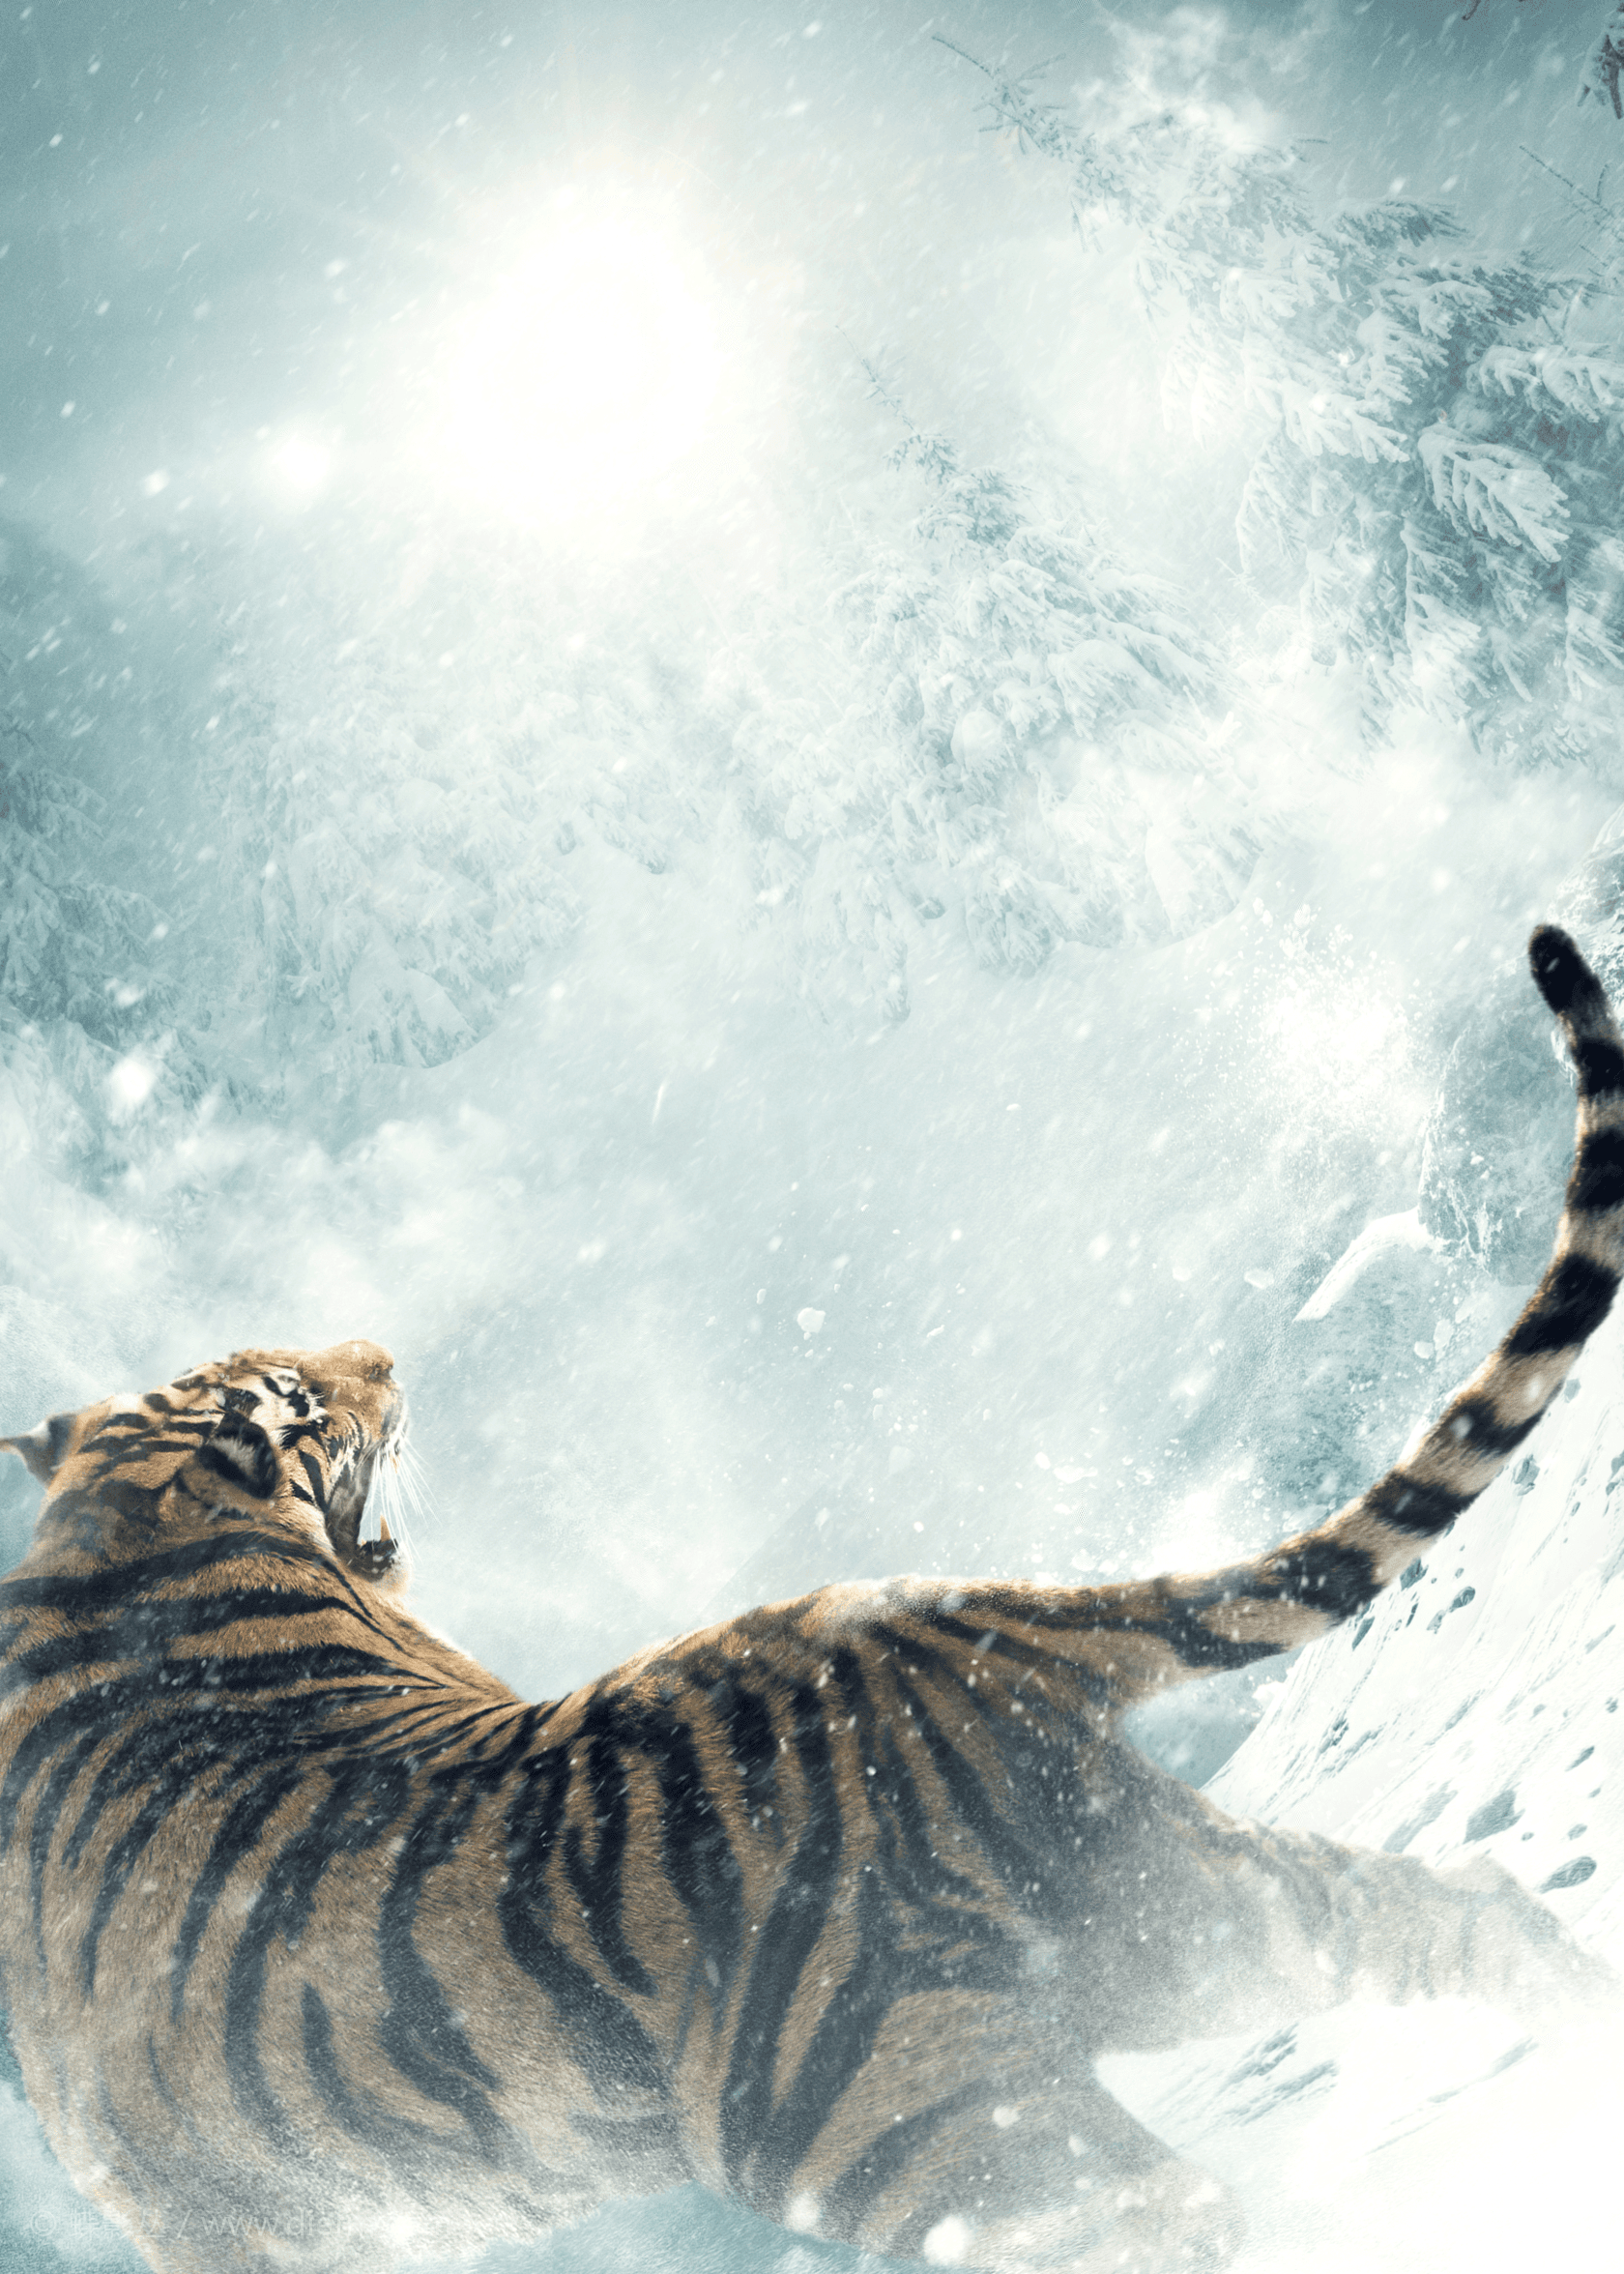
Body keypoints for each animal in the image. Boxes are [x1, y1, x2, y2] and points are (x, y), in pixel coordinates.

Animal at [0, 922, 1619, 2274]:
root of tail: (935, 1625)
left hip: (902, 2117)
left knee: (1177, 2211)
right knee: (1459, 1911)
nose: (384, 1354)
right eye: (305, 1389)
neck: (107, 1554)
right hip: (1182, 1918)